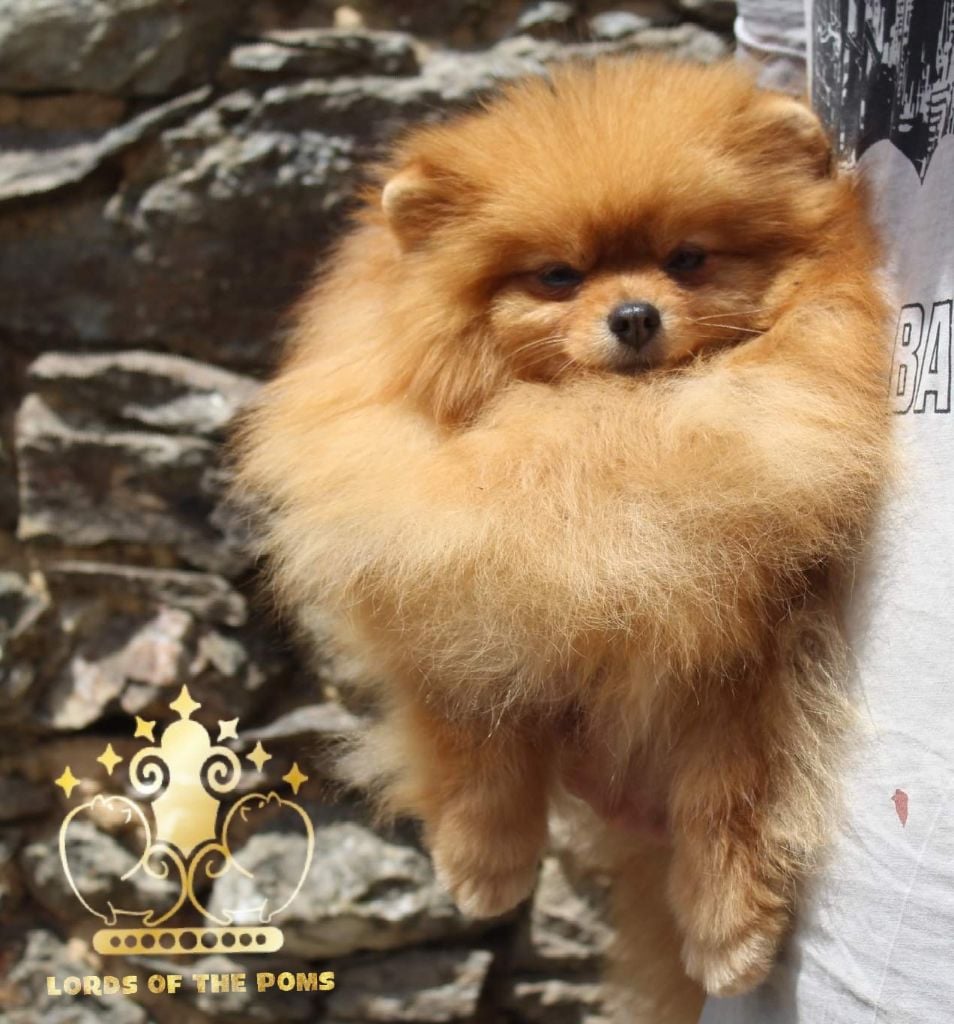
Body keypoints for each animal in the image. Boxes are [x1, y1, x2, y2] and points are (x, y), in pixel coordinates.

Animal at [237, 58, 892, 1021]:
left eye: (687, 258)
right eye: (556, 275)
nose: (634, 315)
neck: (603, 444)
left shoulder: (750, 658)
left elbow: (728, 802)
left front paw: (729, 934)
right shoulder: (453, 596)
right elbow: (478, 748)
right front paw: (484, 867)